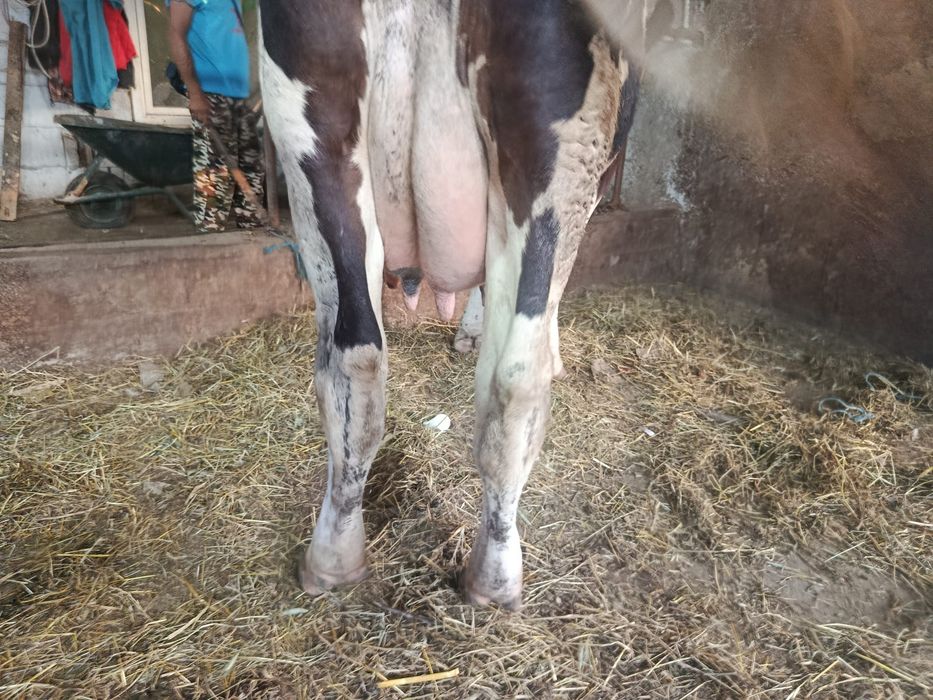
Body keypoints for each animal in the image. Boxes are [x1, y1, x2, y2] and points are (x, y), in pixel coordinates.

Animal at [259, 0, 647, 610]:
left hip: (314, 123)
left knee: (356, 360)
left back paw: (332, 558)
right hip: (560, 152)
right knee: (519, 378)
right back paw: (495, 579)